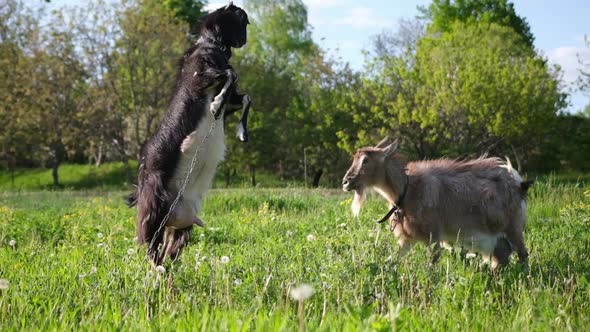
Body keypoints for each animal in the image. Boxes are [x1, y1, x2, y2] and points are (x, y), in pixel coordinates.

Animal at [127, 2, 252, 266]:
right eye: (242, 21)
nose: (244, 40)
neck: (211, 45)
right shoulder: (199, 79)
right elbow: (229, 74)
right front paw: (215, 104)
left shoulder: (233, 100)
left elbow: (245, 96)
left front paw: (241, 131)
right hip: (153, 208)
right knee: (149, 246)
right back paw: (154, 270)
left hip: (178, 227)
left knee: (167, 251)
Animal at [342, 137, 532, 270]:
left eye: (366, 160)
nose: (346, 182)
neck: (407, 190)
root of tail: (518, 182)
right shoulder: (407, 239)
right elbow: (393, 260)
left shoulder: (433, 236)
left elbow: (431, 265)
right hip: (498, 239)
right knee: (502, 257)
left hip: (513, 228)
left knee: (523, 254)